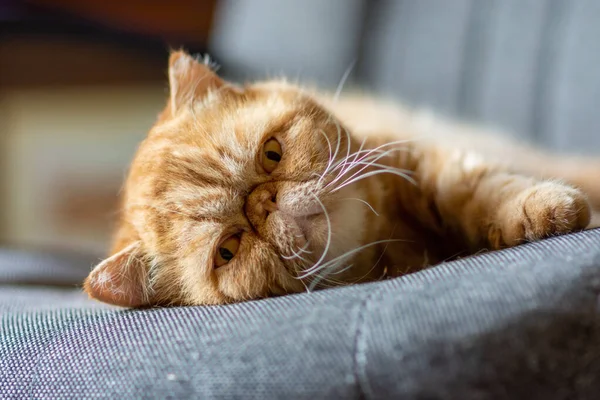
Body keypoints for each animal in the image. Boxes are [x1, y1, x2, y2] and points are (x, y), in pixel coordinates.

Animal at [83, 50, 600, 306]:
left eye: (271, 154)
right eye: (228, 250)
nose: (266, 203)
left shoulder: (422, 158)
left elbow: (479, 188)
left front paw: (541, 207)